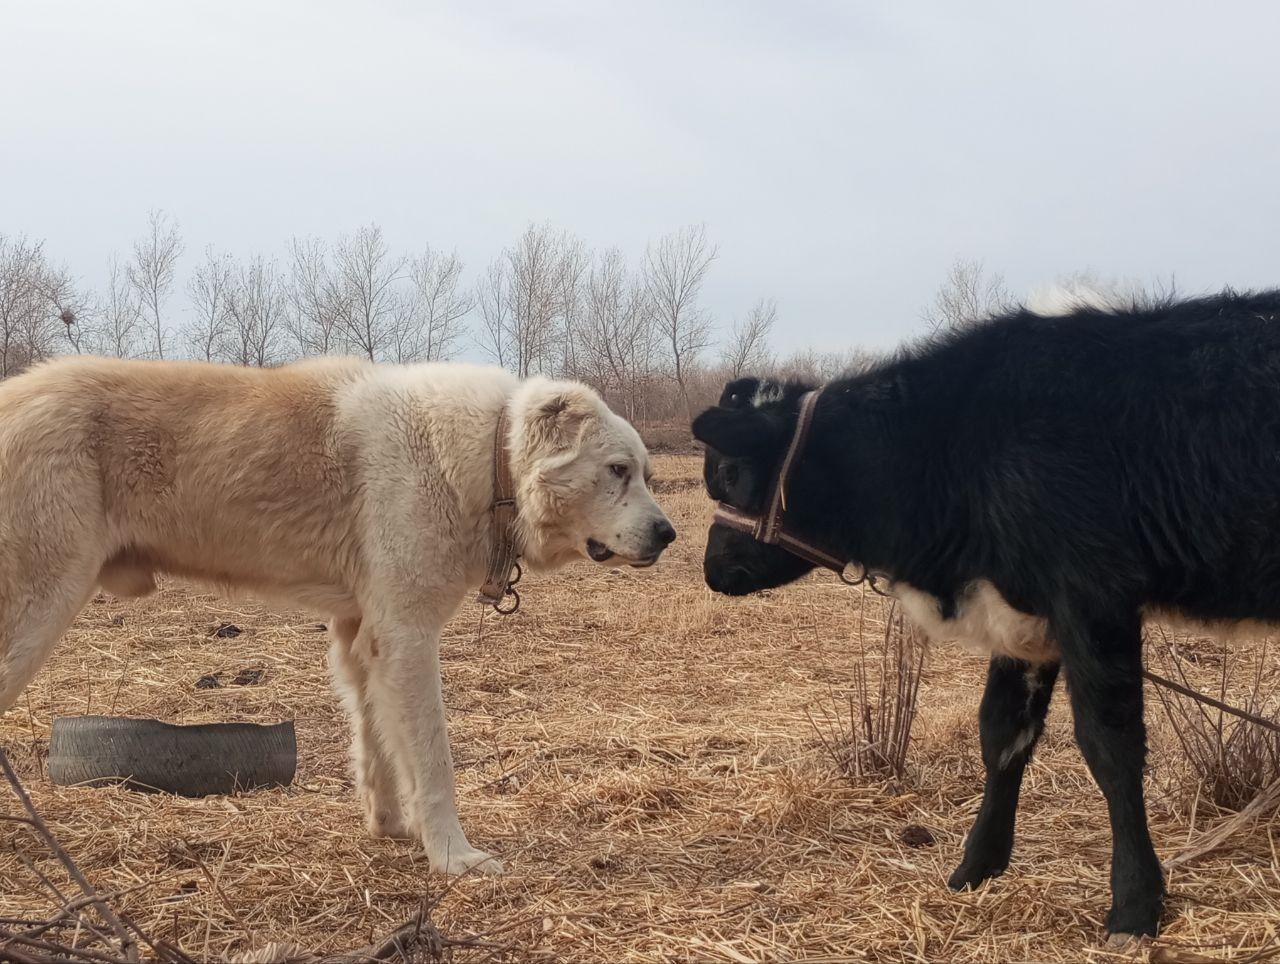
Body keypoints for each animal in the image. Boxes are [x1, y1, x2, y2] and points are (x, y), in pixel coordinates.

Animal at [0, 353, 680, 870]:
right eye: (617, 470)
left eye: (645, 473)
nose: (669, 535)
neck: (489, 458)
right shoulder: (410, 636)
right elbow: (433, 759)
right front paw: (455, 858)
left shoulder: (364, 637)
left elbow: (378, 744)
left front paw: (392, 829)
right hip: (39, 606)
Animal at [696, 285, 1280, 942]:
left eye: (729, 474)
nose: (712, 568)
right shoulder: (1024, 616)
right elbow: (1002, 733)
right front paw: (976, 867)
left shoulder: (1093, 597)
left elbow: (1111, 745)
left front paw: (1134, 904)